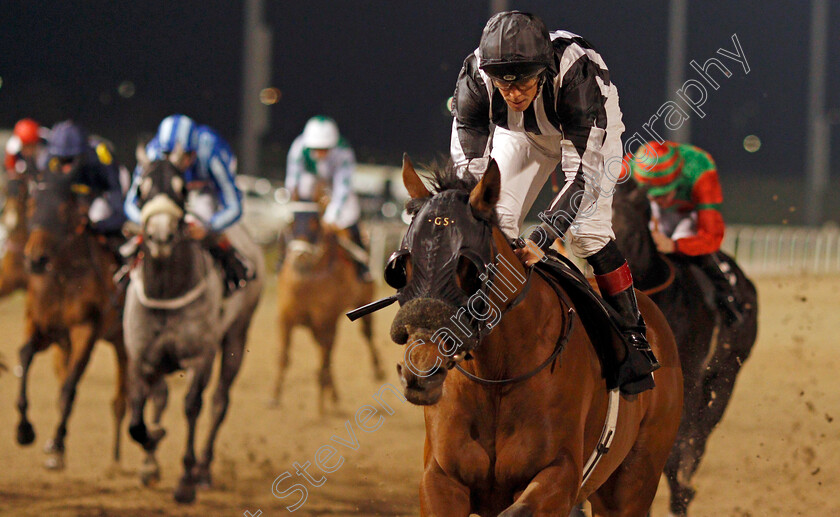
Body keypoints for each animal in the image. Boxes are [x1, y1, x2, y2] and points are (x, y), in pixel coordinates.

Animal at [14, 170, 126, 472]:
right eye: (32, 205)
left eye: (64, 210)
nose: (35, 259)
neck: (64, 278)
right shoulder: (41, 326)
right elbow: (25, 355)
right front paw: (24, 430)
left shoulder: (85, 330)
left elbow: (69, 388)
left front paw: (56, 443)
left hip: (124, 341)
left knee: (123, 398)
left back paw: (122, 459)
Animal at [122, 159, 262, 502]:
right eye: (140, 188)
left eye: (181, 188)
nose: (160, 236)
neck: (165, 291)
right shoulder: (140, 357)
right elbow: (137, 414)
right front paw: (151, 450)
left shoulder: (201, 357)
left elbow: (192, 406)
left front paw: (186, 479)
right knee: (160, 397)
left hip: (236, 336)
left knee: (219, 403)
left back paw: (204, 470)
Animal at [270, 201, 386, 412]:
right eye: (291, 221)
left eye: (315, 222)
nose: (300, 256)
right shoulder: (286, 319)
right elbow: (284, 357)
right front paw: (275, 397)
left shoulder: (326, 322)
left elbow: (324, 361)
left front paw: (321, 407)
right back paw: (334, 395)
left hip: (363, 303)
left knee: (367, 334)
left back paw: (377, 371)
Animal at [388, 157, 684, 516]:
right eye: (402, 266)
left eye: (469, 269)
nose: (421, 369)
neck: (497, 376)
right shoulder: (441, 479)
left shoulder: (560, 476)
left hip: (633, 482)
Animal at [612, 176, 760, 512]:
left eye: (632, 233)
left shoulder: (689, 374)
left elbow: (680, 442)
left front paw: (681, 493)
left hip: (728, 372)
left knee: (704, 427)